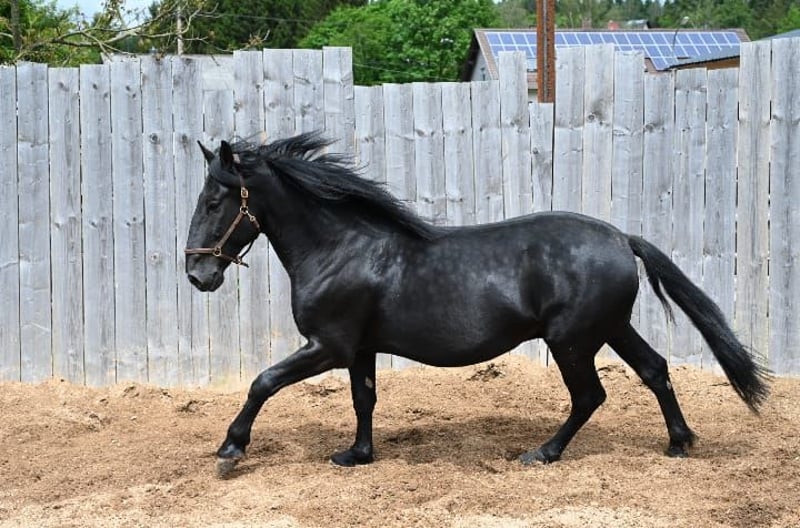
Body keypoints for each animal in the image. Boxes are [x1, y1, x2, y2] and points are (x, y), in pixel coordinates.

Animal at [184, 131, 770, 477]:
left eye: (214, 202)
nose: (197, 274)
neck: (339, 247)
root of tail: (621, 238)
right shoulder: (359, 349)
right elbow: (364, 399)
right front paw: (356, 455)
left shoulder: (327, 345)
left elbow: (263, 381)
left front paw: (230, 450)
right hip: (610, 328)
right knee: (654, 369)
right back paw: (679, 443)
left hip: (572, 340)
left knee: (590, 395)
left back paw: (541, 453)